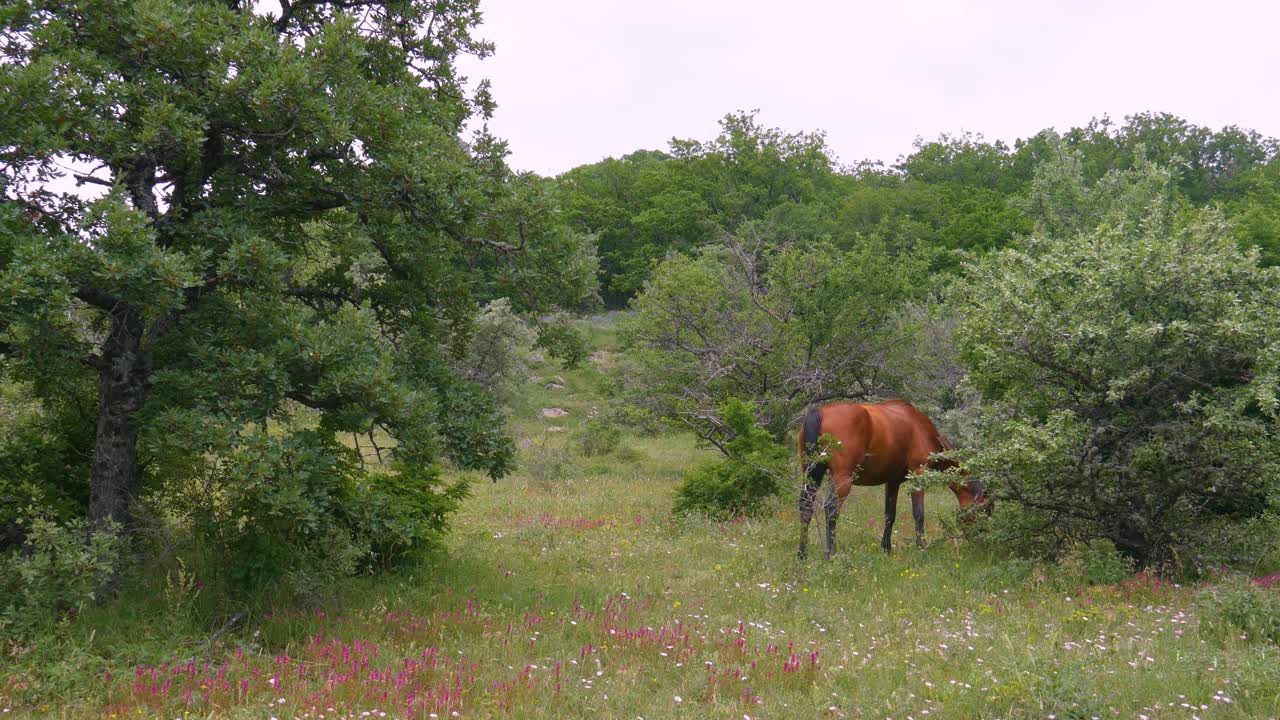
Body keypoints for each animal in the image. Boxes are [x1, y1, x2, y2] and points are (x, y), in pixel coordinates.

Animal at [793, 399, 983, 558]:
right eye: (983, 507)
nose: (979, 540)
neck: (921, 427)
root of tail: (819, 412)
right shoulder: (918, 474)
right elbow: (919, 513)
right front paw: (921, 546)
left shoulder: (892, 482)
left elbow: (890, 515)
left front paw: (886, 548)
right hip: (842, 479)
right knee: (831, 510)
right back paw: (831, 554)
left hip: (811, 474)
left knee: (806, 507)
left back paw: (802, 554)